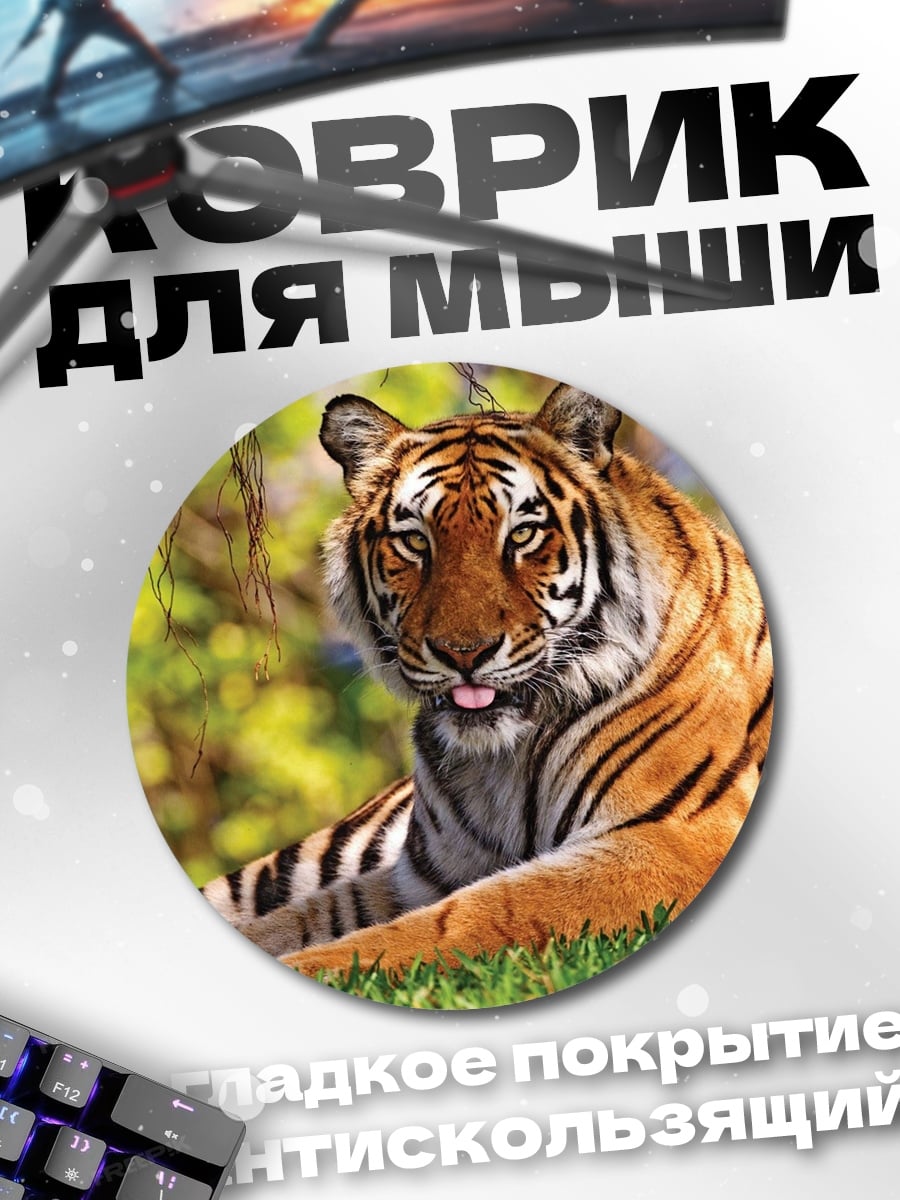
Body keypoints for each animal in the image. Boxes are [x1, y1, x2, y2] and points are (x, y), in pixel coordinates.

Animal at [201, 382, 773, 981]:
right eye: (415, 542)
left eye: (522, 534)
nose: (464, 653)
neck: (502, 761)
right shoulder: (421, 875)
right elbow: (300, 918)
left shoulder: (671, 839)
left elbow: (468, 918)